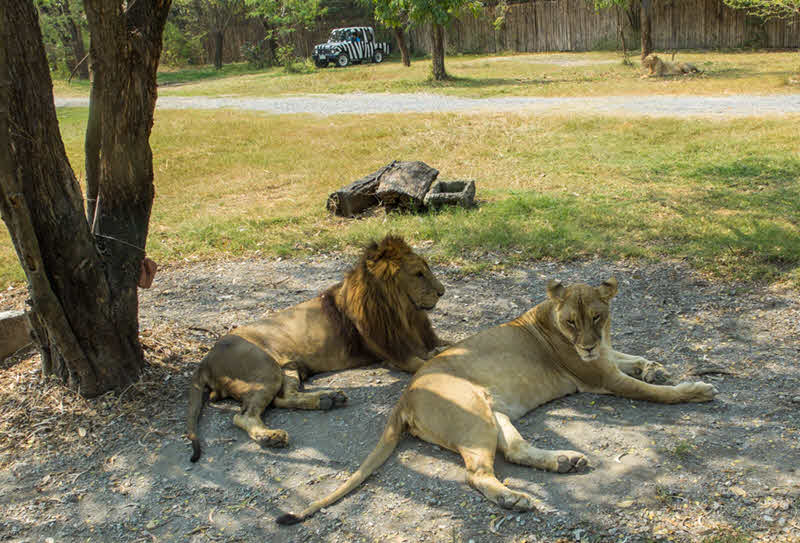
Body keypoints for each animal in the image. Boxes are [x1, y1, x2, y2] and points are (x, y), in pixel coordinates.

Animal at [188, 235, 450, 464]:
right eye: (418, 274)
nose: (442, 291)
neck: (403, 311)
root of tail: (206, 360)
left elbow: (446, 345)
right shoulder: (394, 353)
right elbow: (423, 362)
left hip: (289, 368)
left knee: (283, 398)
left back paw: (327, 399)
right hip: (264, 369)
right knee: (243, 415)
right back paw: (271, 436)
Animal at [276, 278, 720, 524]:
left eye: (597, 316)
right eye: (571, 322)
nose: (588, 345)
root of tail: (405, 396)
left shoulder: (607, 357)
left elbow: (634, 358)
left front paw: (656, 367)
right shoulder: (600, 377)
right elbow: (653, 392)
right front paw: (694, 389)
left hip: (494, 416)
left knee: (517, 450)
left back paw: (565, 461)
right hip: (474, 418)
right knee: (476, 475)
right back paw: (515, 498)